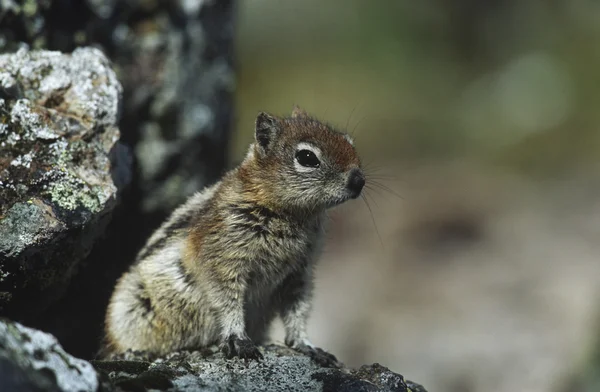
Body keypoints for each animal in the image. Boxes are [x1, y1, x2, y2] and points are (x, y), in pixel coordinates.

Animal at [103, 106, 366, 364]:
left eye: (349, 141)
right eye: (307, 157)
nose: (359, 180)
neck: (291, 215)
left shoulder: (300, 272)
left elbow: (298, 310)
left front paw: (307, 345)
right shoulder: (223, 258)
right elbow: (227, 301)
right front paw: (238, 339)